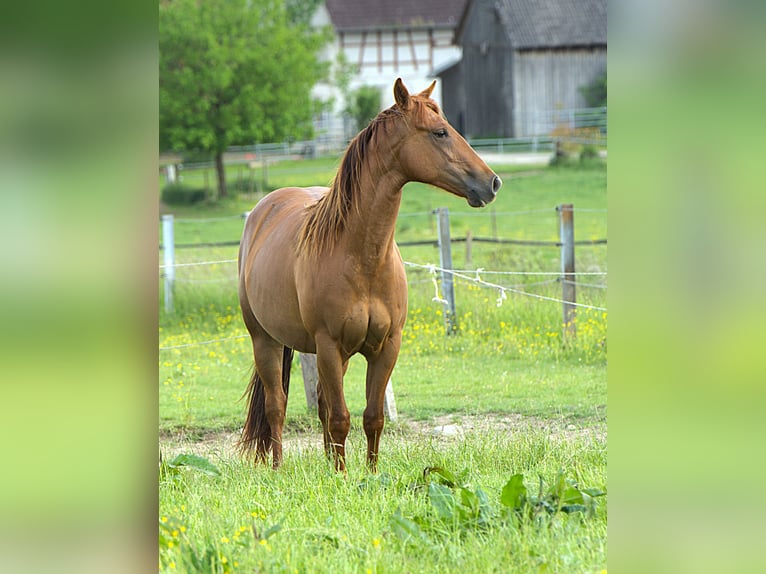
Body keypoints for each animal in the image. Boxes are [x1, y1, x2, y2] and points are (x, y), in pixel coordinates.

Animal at [237, 78, 501, 472]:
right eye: (439, 132)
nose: (493, 182)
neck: (362, 259)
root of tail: (263, 210)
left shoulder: (386, 346)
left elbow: (372, 417)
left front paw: (369, 474)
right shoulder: (329, 346)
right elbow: (341, 417)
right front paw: (342, 477)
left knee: (320, 403)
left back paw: (326, 462)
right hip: (265, 340)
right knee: (277, 407)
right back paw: (278, 469)